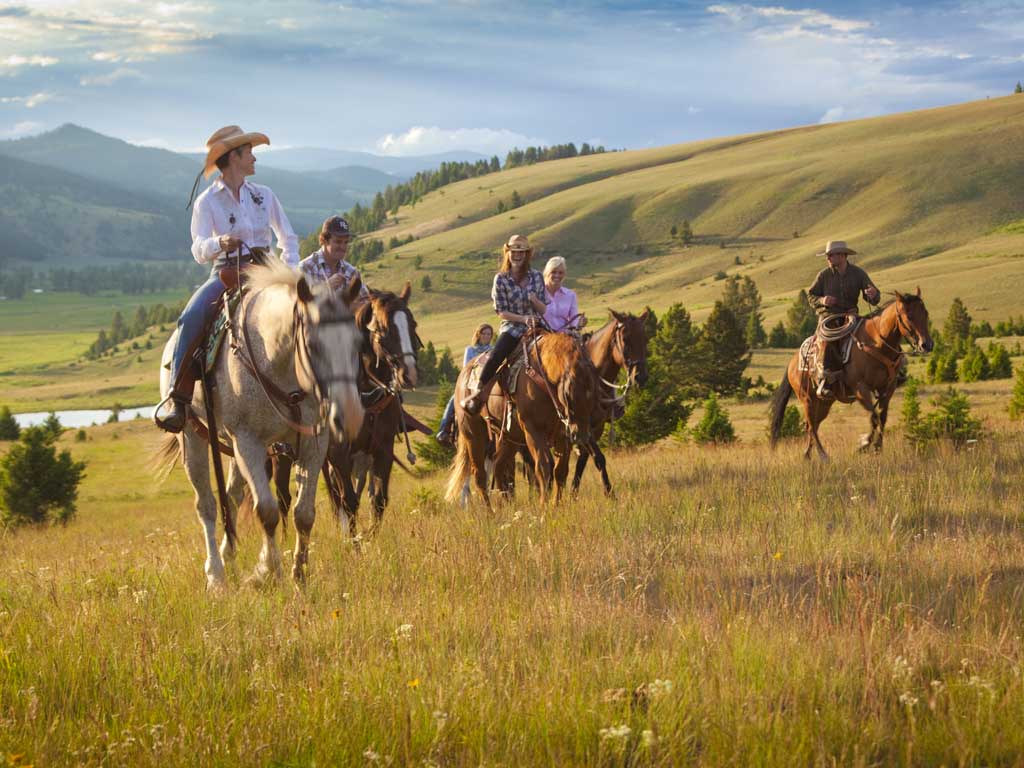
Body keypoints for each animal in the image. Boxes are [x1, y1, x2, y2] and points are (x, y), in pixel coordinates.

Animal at [157, 264, 366, 589]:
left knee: (232, 495)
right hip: (192, 436)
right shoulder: (248, 442)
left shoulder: (313, 441)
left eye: (358, 342)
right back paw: (215, 575)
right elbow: (266, 511)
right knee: (206, 504)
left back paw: (229, 555)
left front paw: (299, 574)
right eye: (313, 345)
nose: (350, 416)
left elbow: (304, 514)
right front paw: (268, 569)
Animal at [448, 331, 598, 512]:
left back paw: (505, 506)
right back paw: (490, 513)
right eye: (568, 394)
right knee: (480, 475)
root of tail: (463, 375)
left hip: (509, 439)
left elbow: (560, 471)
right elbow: (543, 468)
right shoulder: (533, 431)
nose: (581, 436)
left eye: (593, 392)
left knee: (499, 466)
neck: (543, 378)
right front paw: (544, 507)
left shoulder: (563, 435)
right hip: (473, 434)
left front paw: (555, 506)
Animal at [770, 290, 933, 460]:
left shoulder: (887, 389)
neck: (877, 343)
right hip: (807, 399)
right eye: (909, 316)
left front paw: (877, 447)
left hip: (823, 403)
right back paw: (823, 455)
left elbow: (882, 418)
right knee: (812, 427)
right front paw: (864, 443)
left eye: (925, 313)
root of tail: (792, 362)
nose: (926, 344)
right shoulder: (861, 389)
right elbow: (874, 416)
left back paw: (807, 456)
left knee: (811, 425)